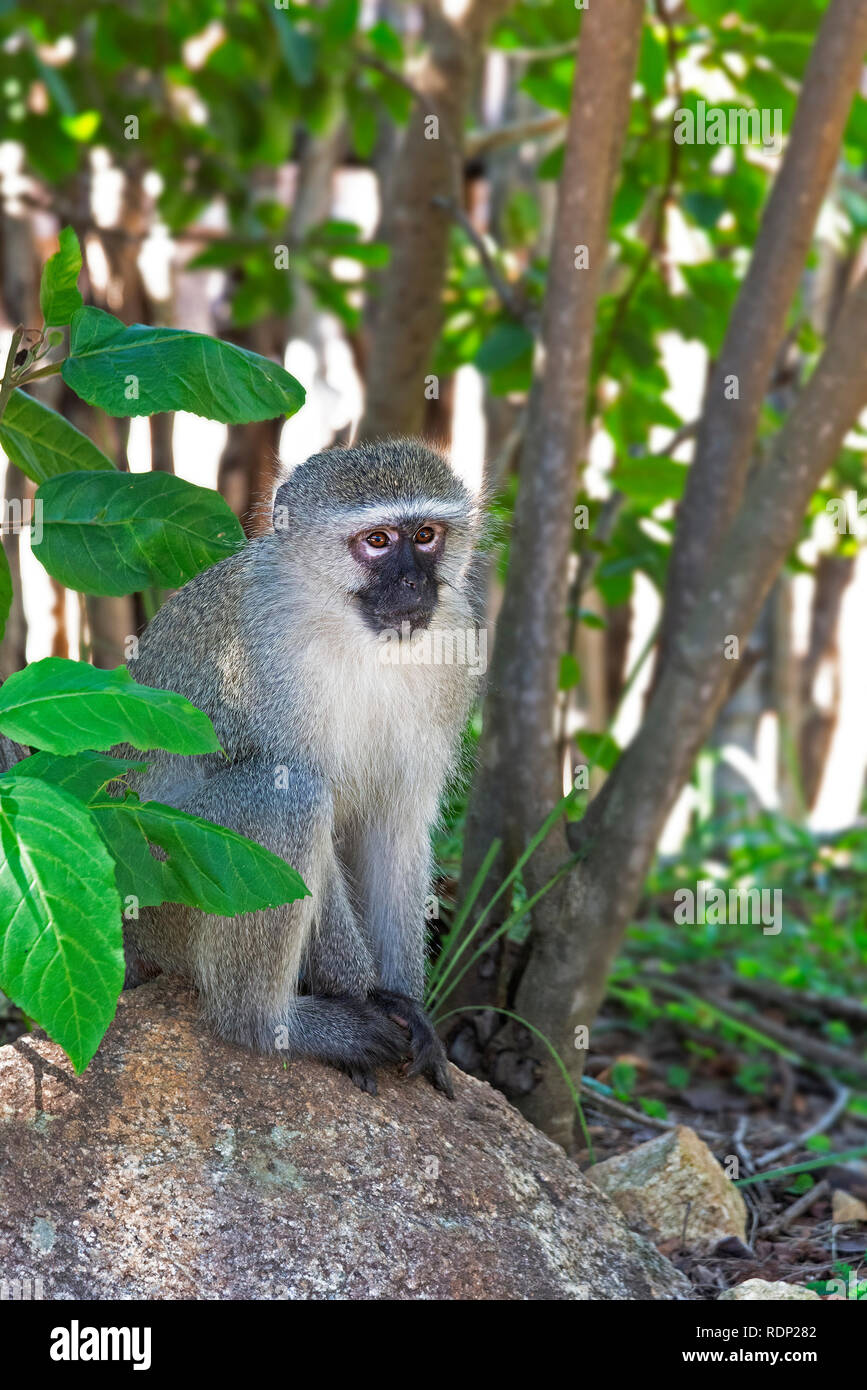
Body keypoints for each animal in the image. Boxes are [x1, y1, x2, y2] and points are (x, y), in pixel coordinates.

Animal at [120, 442, 480, 1095]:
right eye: (378, 541)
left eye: (426, 535)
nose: (414, 583)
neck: (349, 628)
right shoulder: (259, 659)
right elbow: (293, 786)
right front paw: (361, 993)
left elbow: (397, 824)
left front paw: (408, 1004)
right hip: (163, 890)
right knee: (285, 796)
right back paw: (270, 1024)